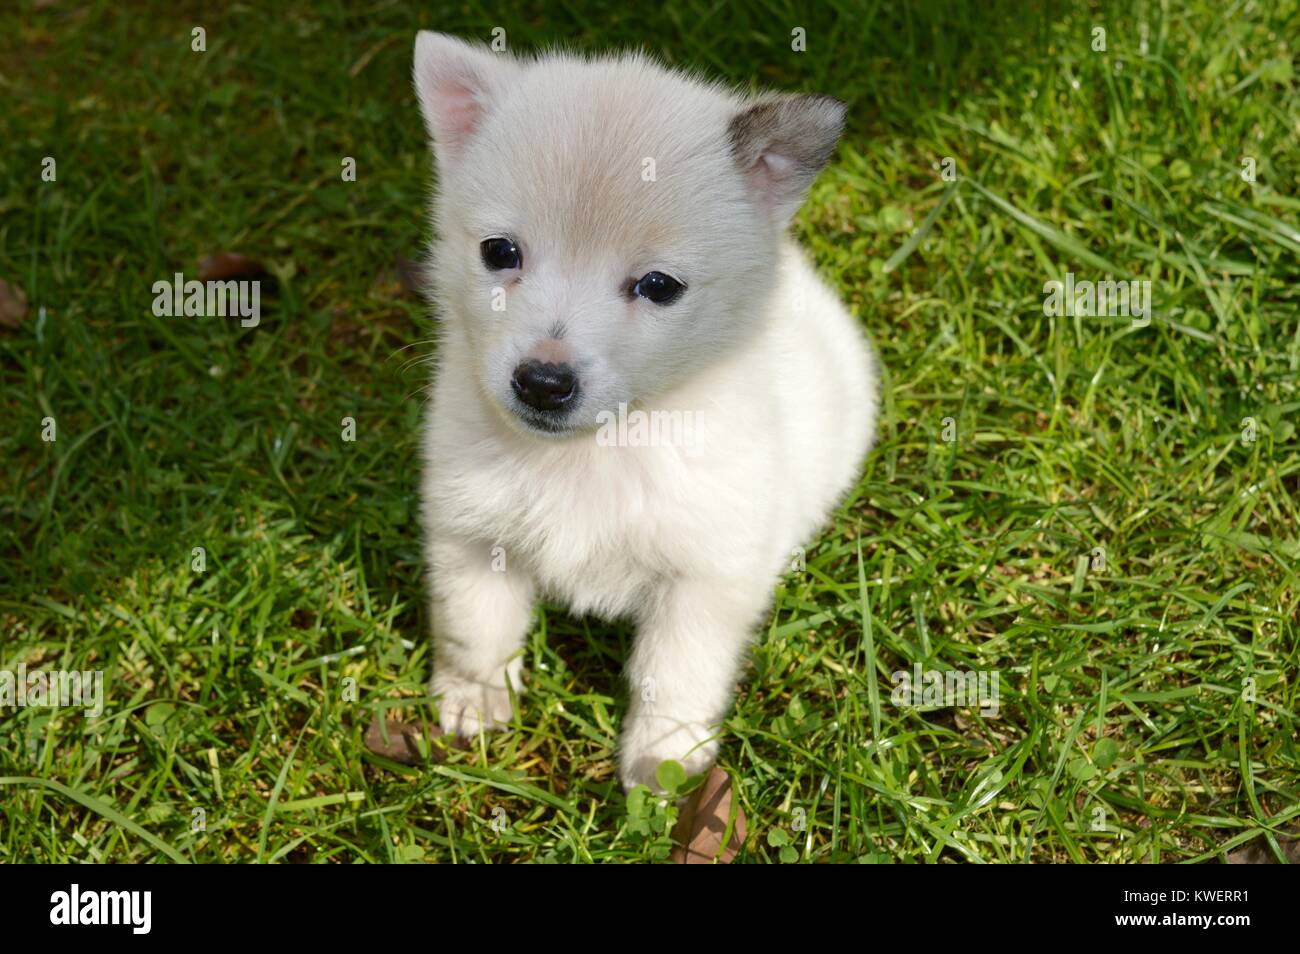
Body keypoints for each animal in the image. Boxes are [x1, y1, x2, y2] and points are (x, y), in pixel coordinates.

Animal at [413, 31, 883, 790]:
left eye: (659, 286)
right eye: (499, 251)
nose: (543, 382)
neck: (593, 452)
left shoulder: (704, 577)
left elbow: (676, 675)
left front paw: (662, 761)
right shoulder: (471, 534)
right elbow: (475, 628)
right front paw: (473, 701)